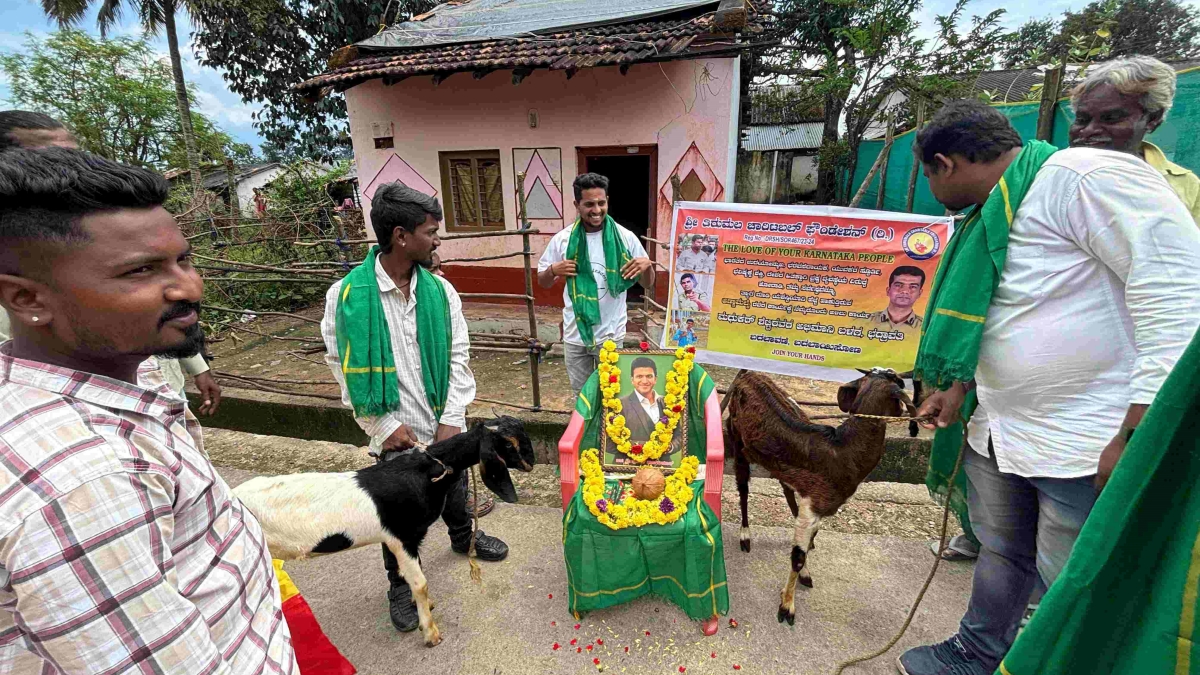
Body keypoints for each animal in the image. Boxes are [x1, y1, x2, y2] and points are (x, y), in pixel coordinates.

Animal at [231, 415, 532, 648]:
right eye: (508, 443)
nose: (531, 462)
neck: (426, 472)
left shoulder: (410, 539)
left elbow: (413, 574)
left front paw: (423, 606)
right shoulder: (402, 536)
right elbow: (419, 581)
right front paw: (430, 632)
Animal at [724, 365, 912, 624]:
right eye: (899, 386)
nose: (903, 411)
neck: (843, 452)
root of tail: (749, 374)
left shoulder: (816, 505)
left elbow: (809, 539)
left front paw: (804, 575)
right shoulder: (812, 506)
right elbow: (797, 556)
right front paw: (787, 607)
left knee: (785, 488)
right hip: (738, 440)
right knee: (743, 488)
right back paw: (745, 535)